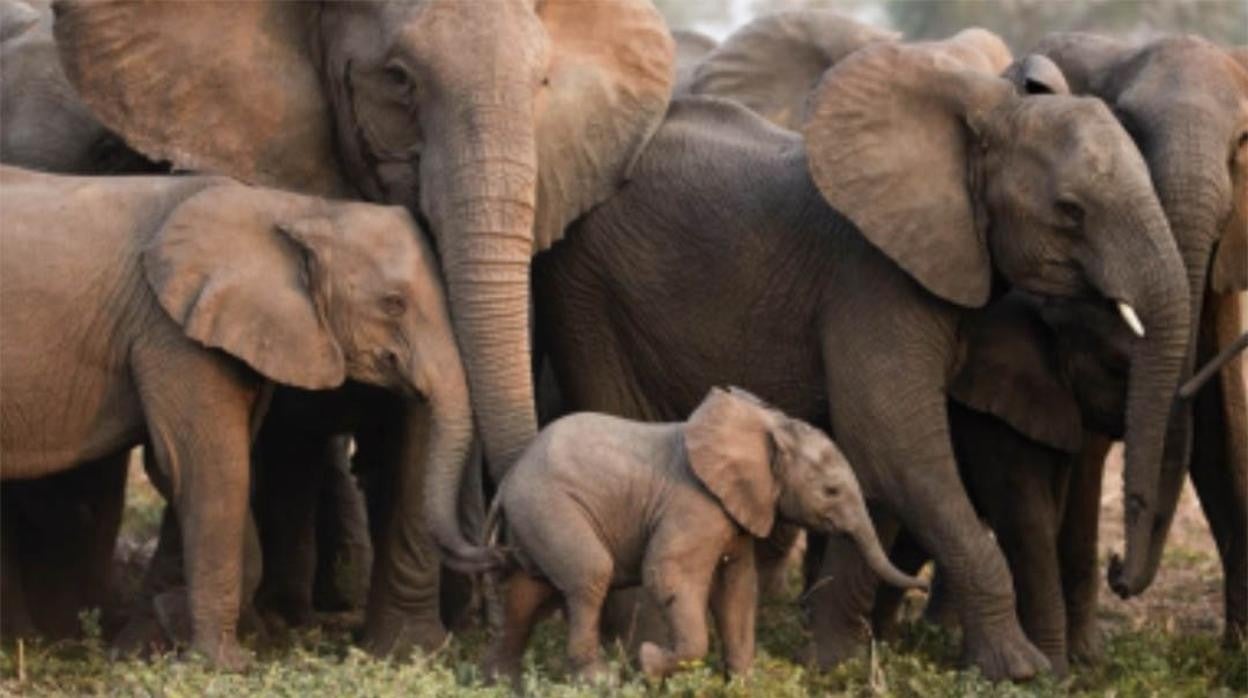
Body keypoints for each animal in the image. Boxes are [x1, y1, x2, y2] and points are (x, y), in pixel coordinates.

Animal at [0, 164, 469, 674]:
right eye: (393, 303)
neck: (295, 207)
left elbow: (203, 467)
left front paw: (167, 625)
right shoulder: (173, 332)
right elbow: (211, 470)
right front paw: (223, 664)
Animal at [481, 387, 923, 684]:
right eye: (831, 491)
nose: (920, 585)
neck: (767, 426)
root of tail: (508, 482)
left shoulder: (736, 510)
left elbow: (738, 587)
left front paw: (743, 684)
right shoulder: (695, 505)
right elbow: (668, 572)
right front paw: (649, 662)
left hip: (535, 517)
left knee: (529, 589)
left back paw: (502, 681)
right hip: (550, 506)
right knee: (589, 573)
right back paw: (598, 680)